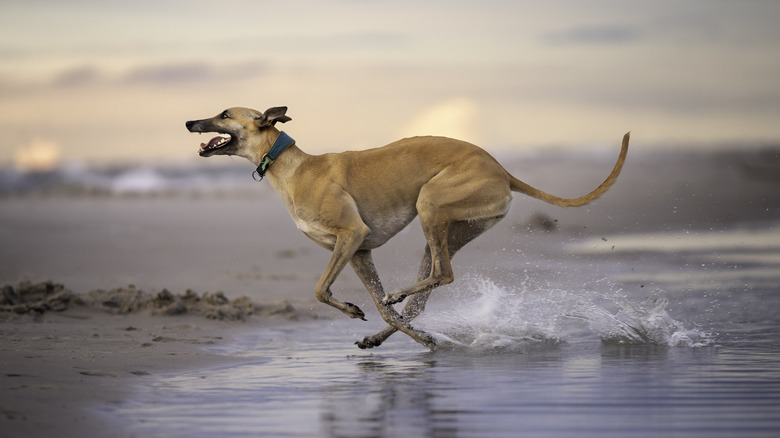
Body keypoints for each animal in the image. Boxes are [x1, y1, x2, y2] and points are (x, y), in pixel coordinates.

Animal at [186, 106, 632, 350]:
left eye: (224, 114)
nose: (190, 122)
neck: (291, 165)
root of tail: (501, 169)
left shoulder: (351, 236)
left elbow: (320, 290)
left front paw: (400, 329)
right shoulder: (358, 250)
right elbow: (380, 307)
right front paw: (384, 324)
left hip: (431, 203)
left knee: (442, 275)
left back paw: (403, 300)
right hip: (452, 228)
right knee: (420, 297)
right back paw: (395, 321)